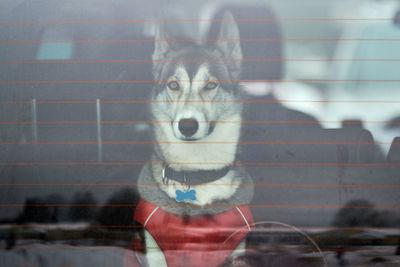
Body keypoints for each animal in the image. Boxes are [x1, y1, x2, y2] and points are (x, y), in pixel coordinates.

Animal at [134, 12, 253, 267]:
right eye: (173, 84)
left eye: (211, 84)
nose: (187, 125)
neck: (197, 174)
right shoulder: (155, 247)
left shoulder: (235, 248)